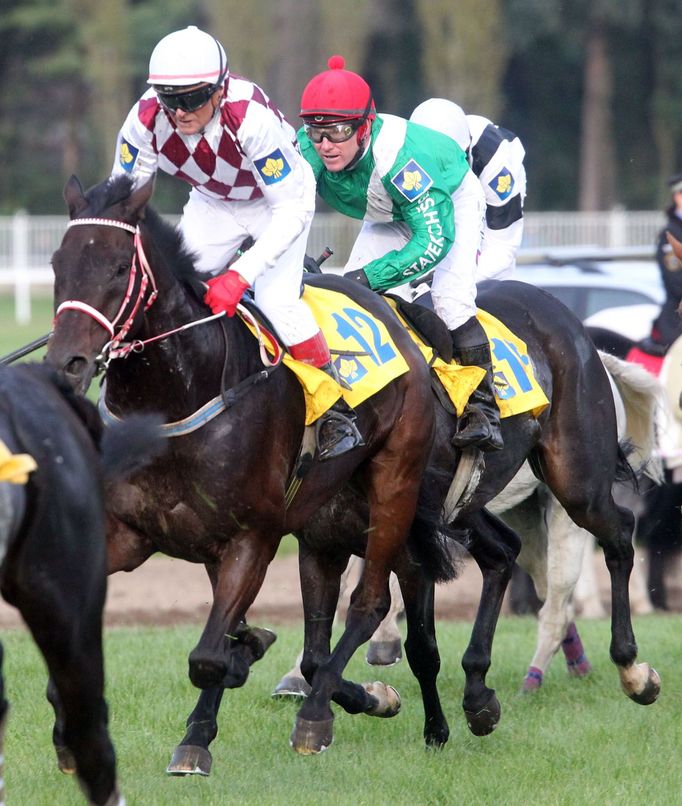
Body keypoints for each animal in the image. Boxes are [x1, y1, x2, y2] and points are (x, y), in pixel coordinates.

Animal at [46, 175, 660, 772]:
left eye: (119, 269)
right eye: (57, 265)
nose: (66, 363)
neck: (190, 395)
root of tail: (572, 324)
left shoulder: (260, 535)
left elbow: (221, 653)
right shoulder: (169, 534)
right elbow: (271, 643)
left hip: (566, 480)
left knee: (615, 538)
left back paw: (632, 669)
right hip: (460, 508)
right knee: (503, 554)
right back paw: (477, 693)